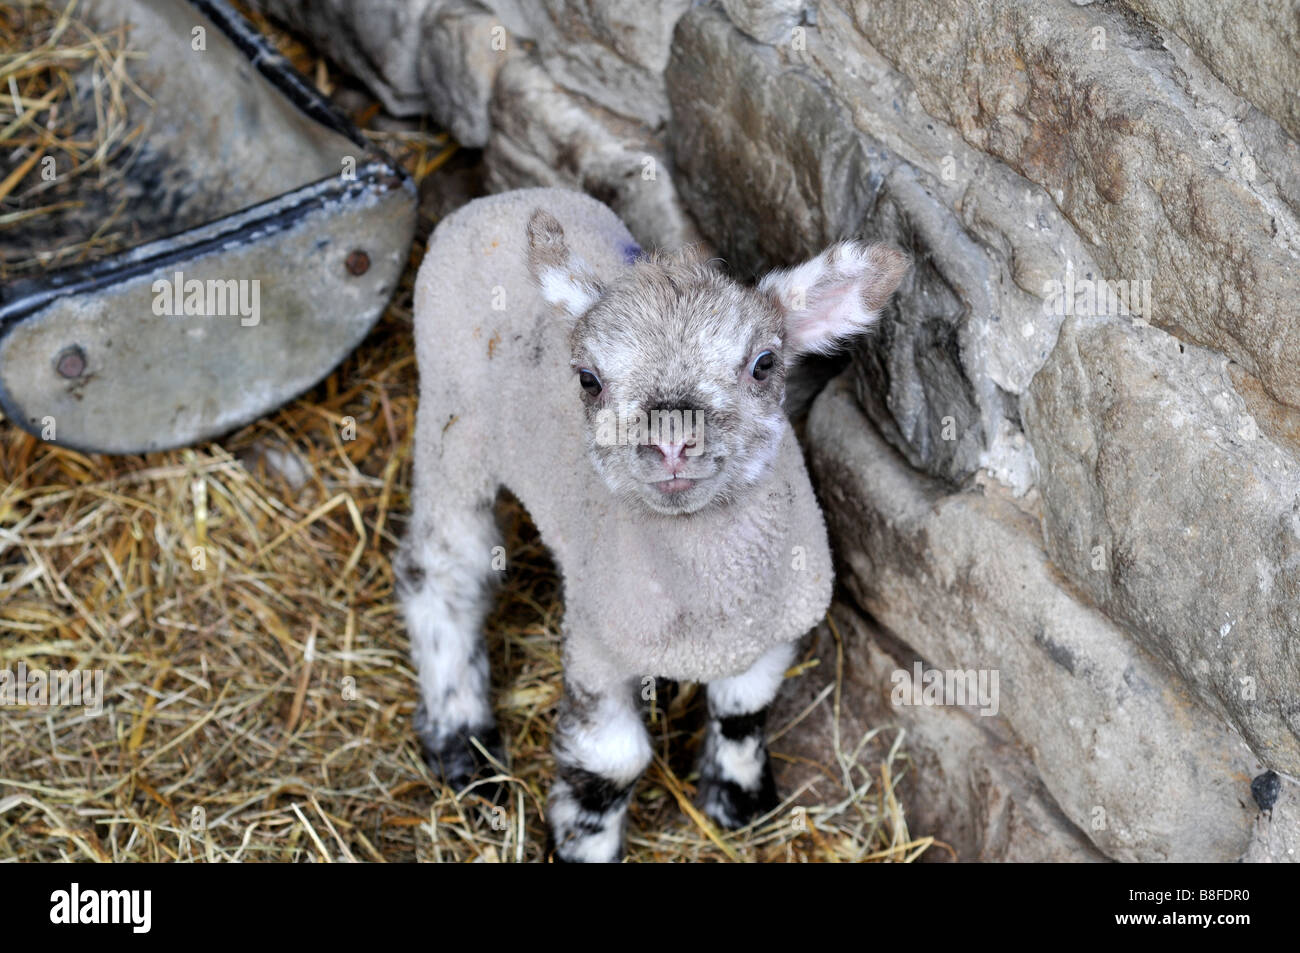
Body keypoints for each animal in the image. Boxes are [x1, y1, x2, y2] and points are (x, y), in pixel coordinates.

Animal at [396, 187, 908, 862]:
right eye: (588, 379)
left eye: (764, 363)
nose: (671, 440)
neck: (712, 608)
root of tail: (497, 201)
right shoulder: (597, 643)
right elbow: (609, 763)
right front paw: (584, 846)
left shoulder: (774, 623)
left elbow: (743, 711)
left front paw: (738, 801)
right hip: (453, 424)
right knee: (443, 573)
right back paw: (461, 741)